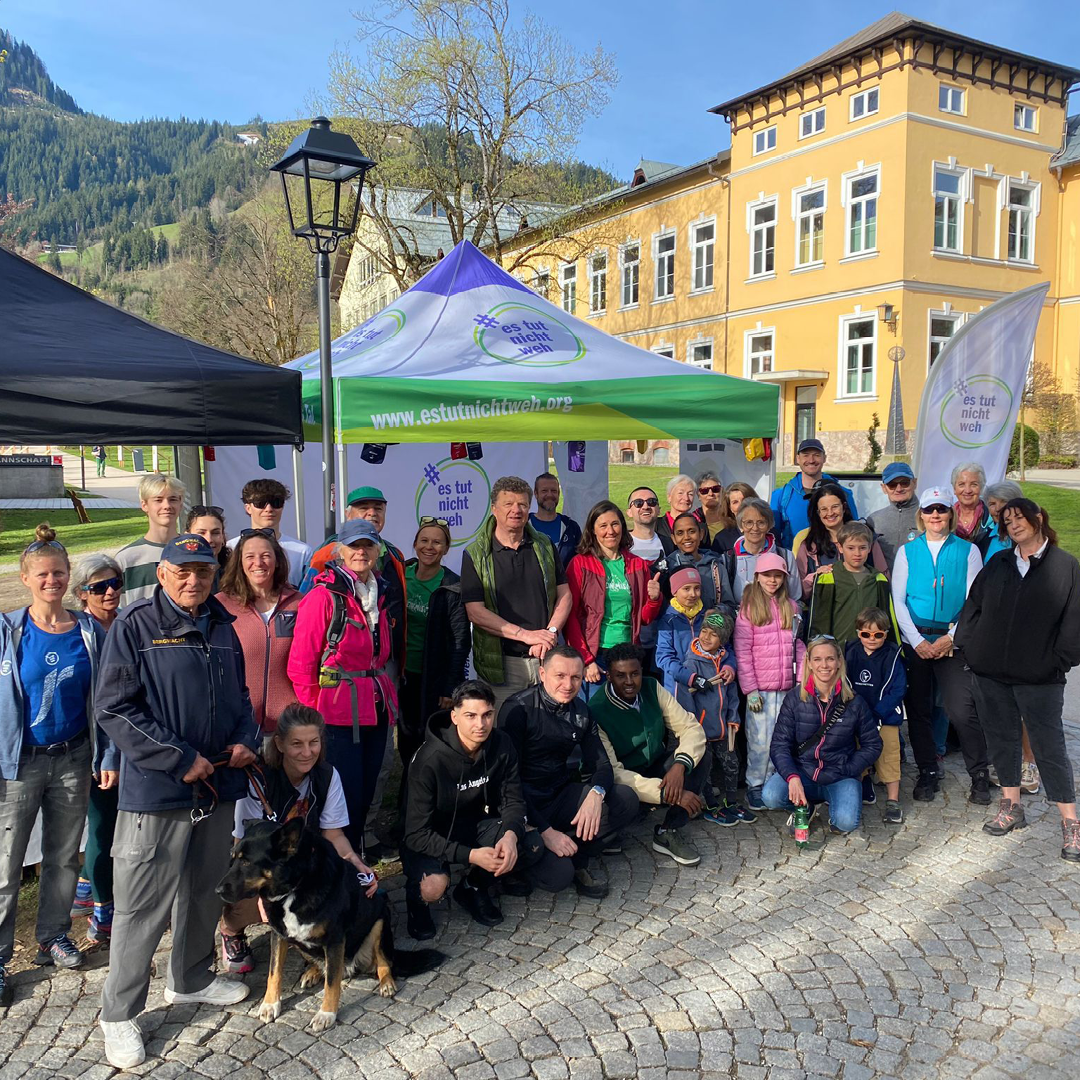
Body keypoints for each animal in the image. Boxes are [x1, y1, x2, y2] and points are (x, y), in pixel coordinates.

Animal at [217, 816, 444, 1031]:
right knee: (321, 963)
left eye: (246, 862)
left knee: (384, 962)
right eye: (232, 858)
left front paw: (326, 1015)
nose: (217, 891)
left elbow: (332, 983)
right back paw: (312, 972)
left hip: (379, 921)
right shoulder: (279, 935)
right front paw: (270, 1005)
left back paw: (386, 983)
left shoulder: (335, 940)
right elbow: (274, 973)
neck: (295, 887)